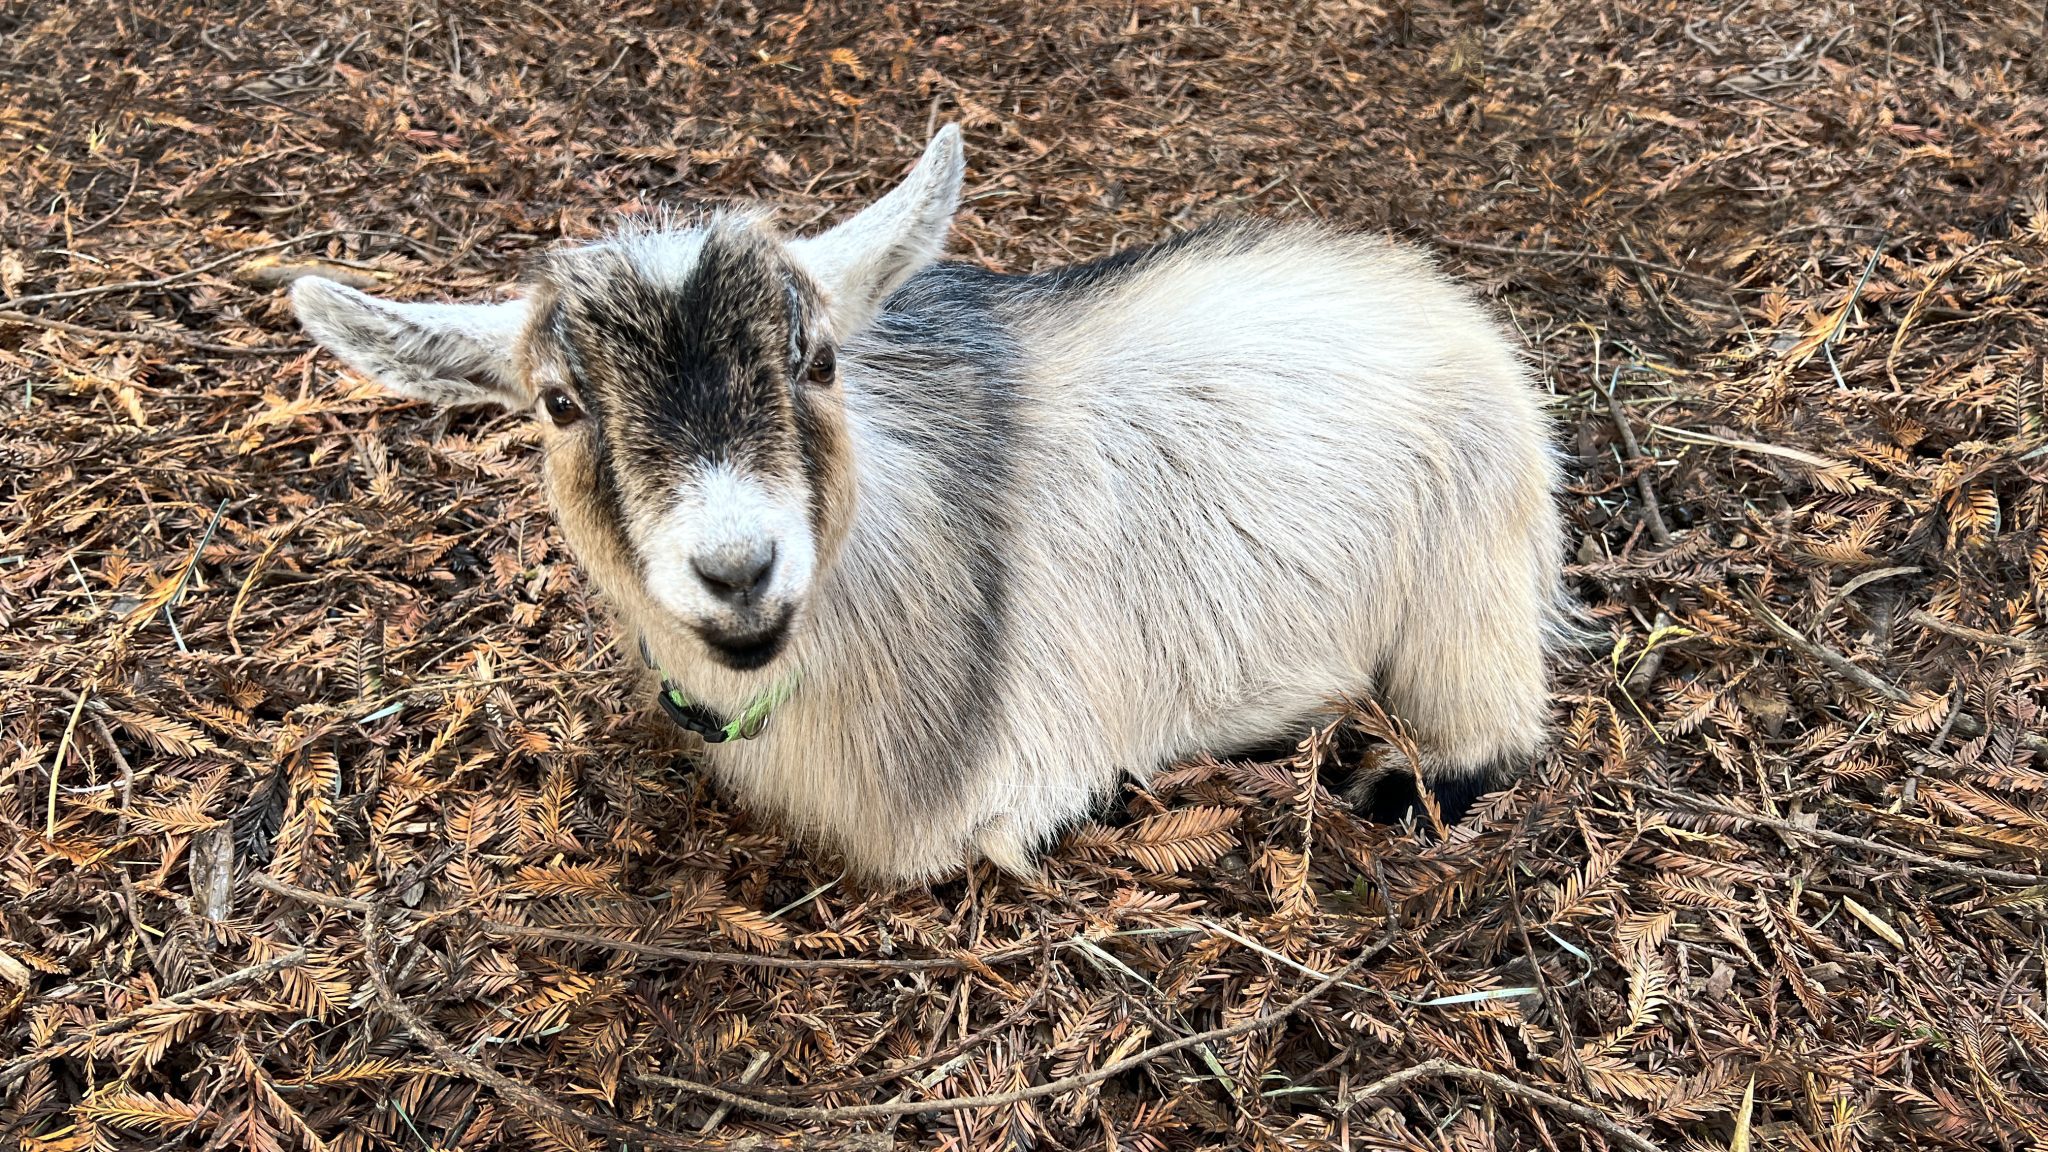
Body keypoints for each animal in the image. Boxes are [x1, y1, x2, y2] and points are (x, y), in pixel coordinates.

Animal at [292, 125, 1564, 877]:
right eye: (559, 403)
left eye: (815, 359)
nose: (738, 569)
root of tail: (1442, 302)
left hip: (1465, 584)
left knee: (1494, 734)